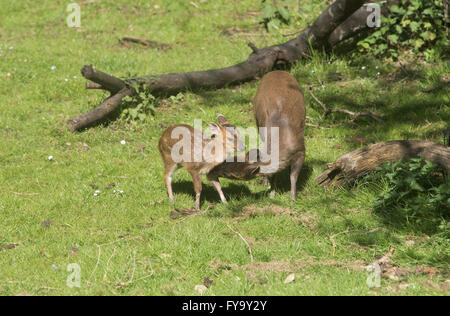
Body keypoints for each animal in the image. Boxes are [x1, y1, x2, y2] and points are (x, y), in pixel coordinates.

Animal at [207, 71, 306, 200]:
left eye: (233, 174)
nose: (212, 171)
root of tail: (277, 71)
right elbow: (274, 174)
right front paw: (271, 192)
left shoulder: (301, 150)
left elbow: (293, 176)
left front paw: (293, 198)